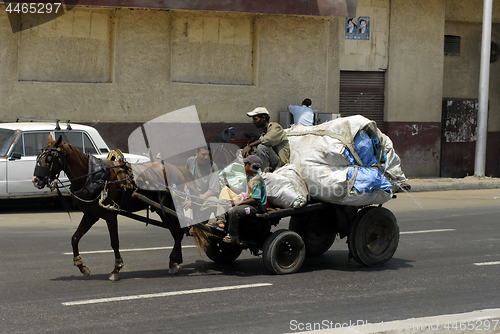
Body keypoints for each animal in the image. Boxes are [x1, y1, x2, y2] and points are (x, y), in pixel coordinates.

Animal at [32, 134, 204, 280]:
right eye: (38, 156)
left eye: (49, 157)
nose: (36, 180)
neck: (93, 176)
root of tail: (178, 169)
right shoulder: (90, 215)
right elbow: (75, 238)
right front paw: (82, 267)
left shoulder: (110, 215)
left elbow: (114, 242)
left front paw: (116, 269)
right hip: (162, 210)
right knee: (177, 231)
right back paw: (174, 261)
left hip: (168, 208)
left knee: (179, 231)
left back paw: (174, 261)